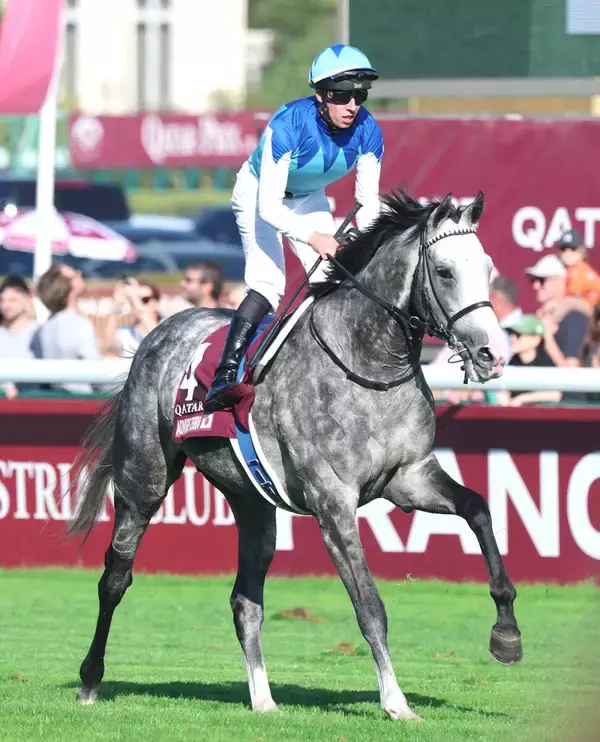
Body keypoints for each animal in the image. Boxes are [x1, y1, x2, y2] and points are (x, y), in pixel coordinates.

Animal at [68, 188, 522, 721]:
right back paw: (90, 680)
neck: (369, 366)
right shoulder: (333, 501)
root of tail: (163, 329)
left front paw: (507, 634)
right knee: (115, 577)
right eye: (446, 271)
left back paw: (263, 699)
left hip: (251, 500)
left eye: (487, 268)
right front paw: (395, 701)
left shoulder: (410, 477)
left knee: (245, 601)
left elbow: (479, 509)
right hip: (144, 478)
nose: (492, 354)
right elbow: (370, 605)